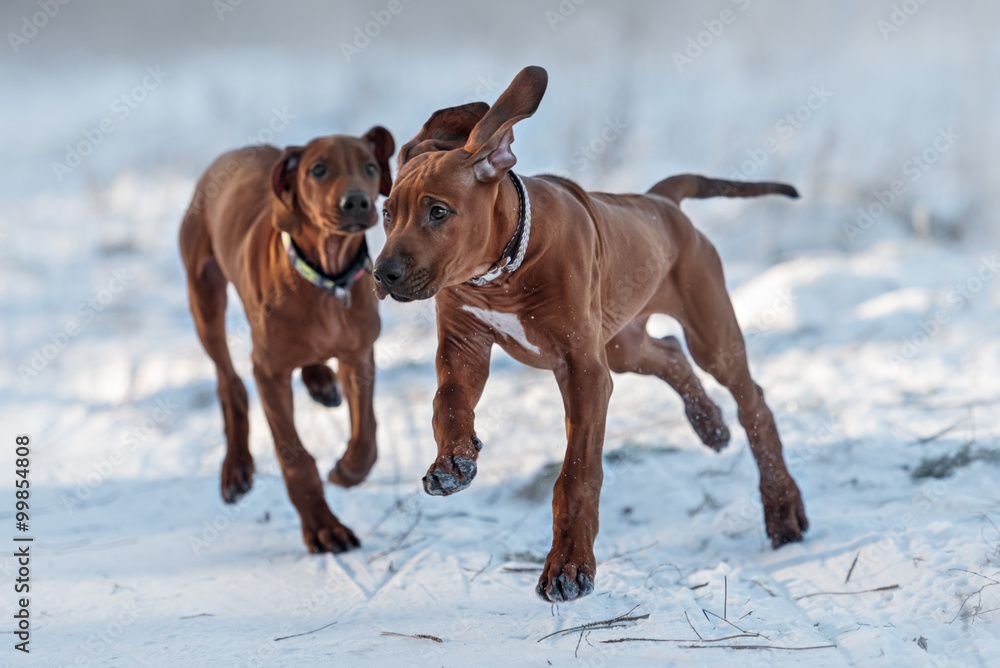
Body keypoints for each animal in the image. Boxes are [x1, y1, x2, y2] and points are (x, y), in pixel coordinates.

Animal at [182, 126, 392, 552]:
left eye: (370, 167)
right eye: (318, 170)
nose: (357, 202)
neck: (327, 278)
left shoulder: (359, 355)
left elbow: (366, 436)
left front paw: (347, 472)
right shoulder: (269, 372)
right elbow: (295, 460)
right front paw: (324, 527)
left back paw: (320, 381)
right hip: (204, 296)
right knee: (228, 383)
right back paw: (237, 469)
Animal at [372, 65, 808, 604]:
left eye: (438, 212)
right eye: (387, 214)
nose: (381, 274)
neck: (501, 274)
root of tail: (660, 200)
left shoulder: (582, 370)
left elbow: (576, 475)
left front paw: (568, 566)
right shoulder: (463, 345)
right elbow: (447, 402)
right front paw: (452, 461)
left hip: (708, 333)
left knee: (754, 403)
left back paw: (782, 507)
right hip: (622, 342)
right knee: (669, 354)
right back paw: (709, 425)